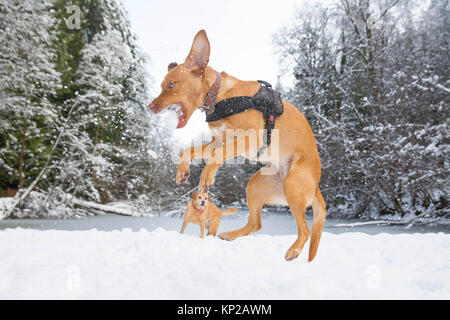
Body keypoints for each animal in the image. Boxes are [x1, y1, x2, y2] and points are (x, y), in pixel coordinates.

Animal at [149, 30, 326, 262]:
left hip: (293, 186)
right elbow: (188, 151)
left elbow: (215, 158)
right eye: (163, 85)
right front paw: (182, 171)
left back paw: (294, 250)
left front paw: (206, 177)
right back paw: (230, 235)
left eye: (171, 85)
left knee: (305, 230)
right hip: (255, 186)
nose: (150, 107)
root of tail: (315, 186)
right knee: (255, 224)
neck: (220, 96)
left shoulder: (248, 140)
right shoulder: (218, 141)